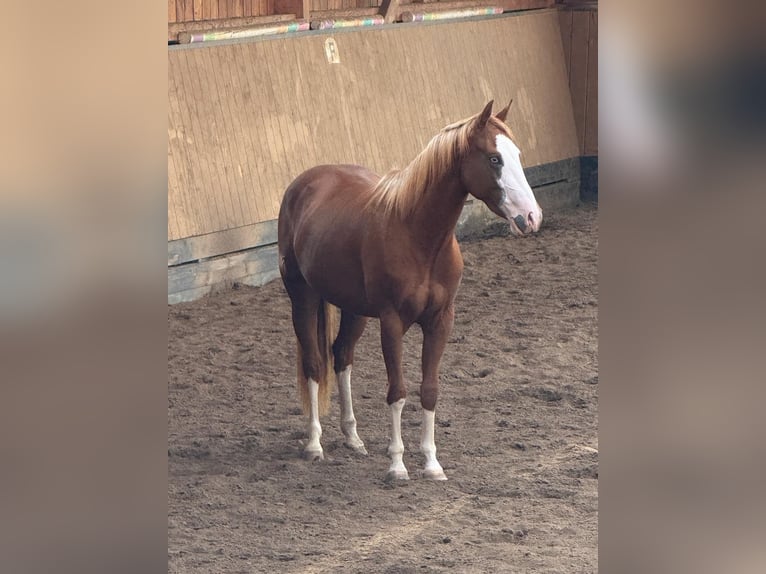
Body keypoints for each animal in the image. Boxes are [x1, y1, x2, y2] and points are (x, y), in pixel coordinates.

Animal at [277, 100, 542, 481]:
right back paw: (314, 444)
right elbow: (398, 391)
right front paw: (397, 464)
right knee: (314, 363)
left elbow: (429, 391)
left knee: (341, 356)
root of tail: (302, 184)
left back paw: (353, 438)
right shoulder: (392, 323)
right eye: (494, 159)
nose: (531, 216)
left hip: (354, 309)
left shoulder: (440, 321)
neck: (418, 236)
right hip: (303, 297)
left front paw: (431, 463)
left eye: (517, 155)